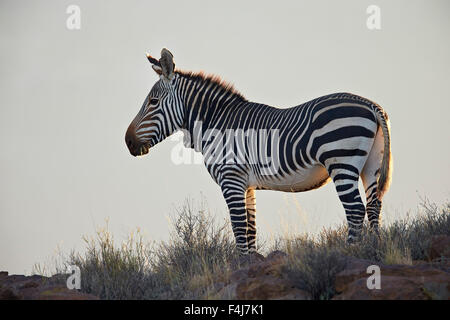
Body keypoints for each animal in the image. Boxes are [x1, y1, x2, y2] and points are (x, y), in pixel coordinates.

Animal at [125, 48, 392, 255]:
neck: (216, 121)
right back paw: (374, 251)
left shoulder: (231, 178)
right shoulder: (247, 185)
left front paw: (240, 266)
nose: (128, 142)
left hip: (341, 161)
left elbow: (238, 227)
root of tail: (371, 105)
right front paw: (251, 265)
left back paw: (350, 252)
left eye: (153, 103)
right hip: (370, 164)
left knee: (355, 210)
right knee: (373, 205)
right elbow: (250, 229)